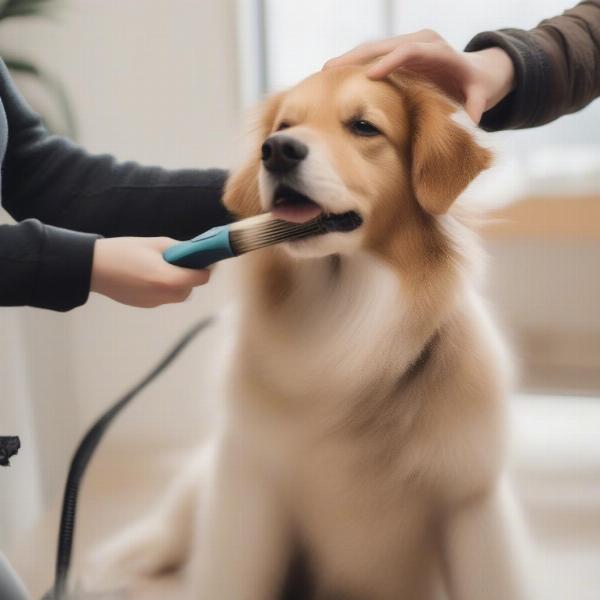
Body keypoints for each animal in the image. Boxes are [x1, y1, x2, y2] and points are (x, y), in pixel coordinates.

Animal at [86, 67, 532, 600]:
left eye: (364, 126)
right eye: (283, 125)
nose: (277, 150)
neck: (344, 326)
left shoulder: (471, 499)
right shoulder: (249, 484)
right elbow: (229, 577)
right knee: (168, 531)